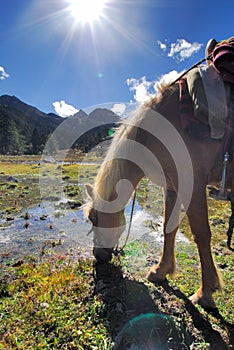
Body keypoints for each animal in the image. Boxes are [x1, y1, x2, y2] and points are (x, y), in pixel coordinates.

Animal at [84, 79, 229, 308]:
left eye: (94, 218)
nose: (98, 256)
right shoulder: (171, 186)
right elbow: (168, 227)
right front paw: (161, 271)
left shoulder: (193, 184)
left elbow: (201, 234)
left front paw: (205, 292)